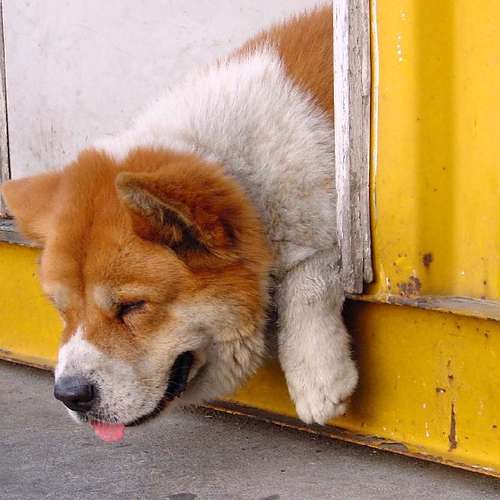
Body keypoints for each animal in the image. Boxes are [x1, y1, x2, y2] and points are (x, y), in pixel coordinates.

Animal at [1, 4, 357, 443]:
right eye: (61, 309)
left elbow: (311, 272)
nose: (69, 394)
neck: (244, 174)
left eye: (133, 306)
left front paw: (316, 375)